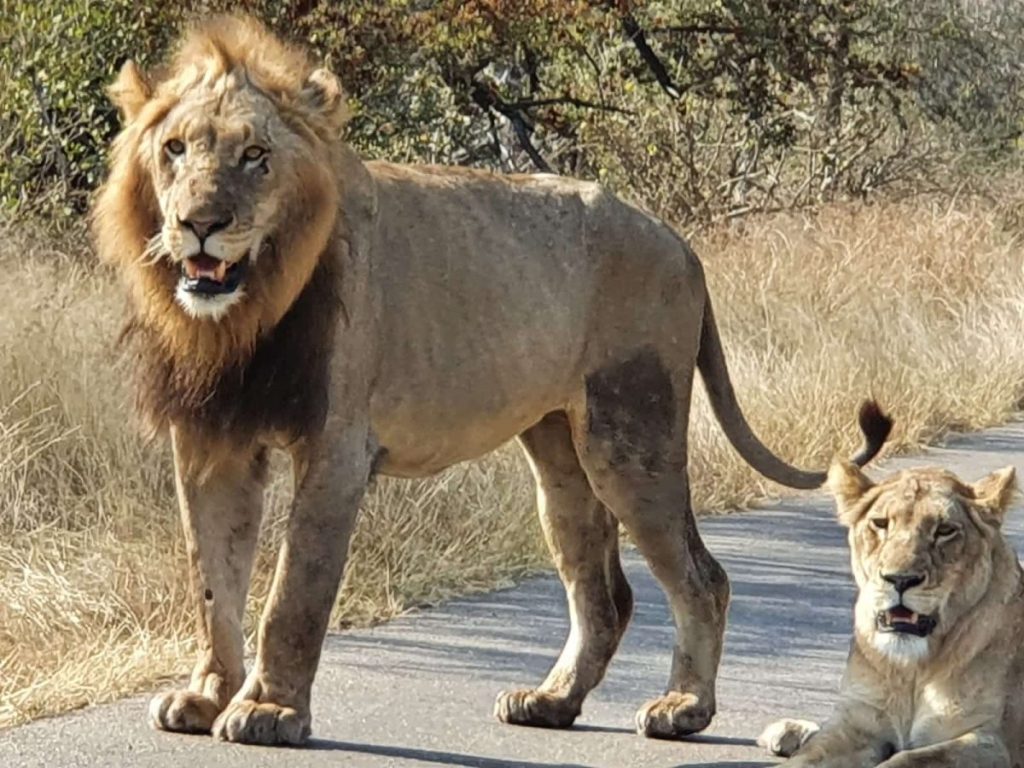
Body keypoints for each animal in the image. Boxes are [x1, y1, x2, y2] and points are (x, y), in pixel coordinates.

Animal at [96, 15, 892, 749]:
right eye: (174, 150)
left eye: (256, 156)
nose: (199, 223)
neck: (242, 316)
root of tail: (677, 240)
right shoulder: (211, 442)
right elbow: (212, 581)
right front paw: (206, 696)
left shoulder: (335, 447)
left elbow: (294, 590)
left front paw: (268, 710)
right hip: (561, 454)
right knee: (605, 593)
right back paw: (552, 700)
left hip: (631, 435)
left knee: (701, 577)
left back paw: (683, 707)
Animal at [761, 462, 1024, 768]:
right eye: (880, 523)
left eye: (945, 530)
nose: (900, 580)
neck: (910, 669)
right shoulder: (855, 724)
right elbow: (808, 756)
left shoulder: (992, 742)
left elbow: (906, 759)